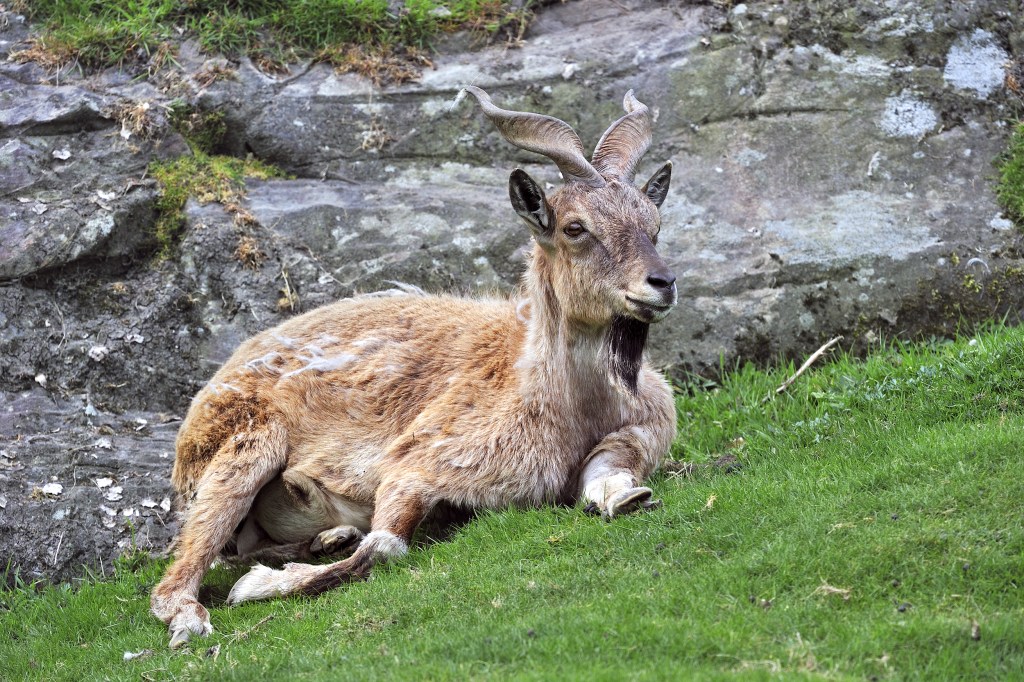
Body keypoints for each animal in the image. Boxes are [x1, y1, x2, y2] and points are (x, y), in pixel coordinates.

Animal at [151, 86, 679, 648]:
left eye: (654, 223)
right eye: (575, 227)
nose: (661, 283)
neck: (569, 407)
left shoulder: (634, 438)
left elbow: (611, 484)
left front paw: (625, 498)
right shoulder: (418, 464)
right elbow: (384, 547)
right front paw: (256, 588)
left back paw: (325, 535)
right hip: (248, 446)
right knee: (179, 575)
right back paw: (193, 615)